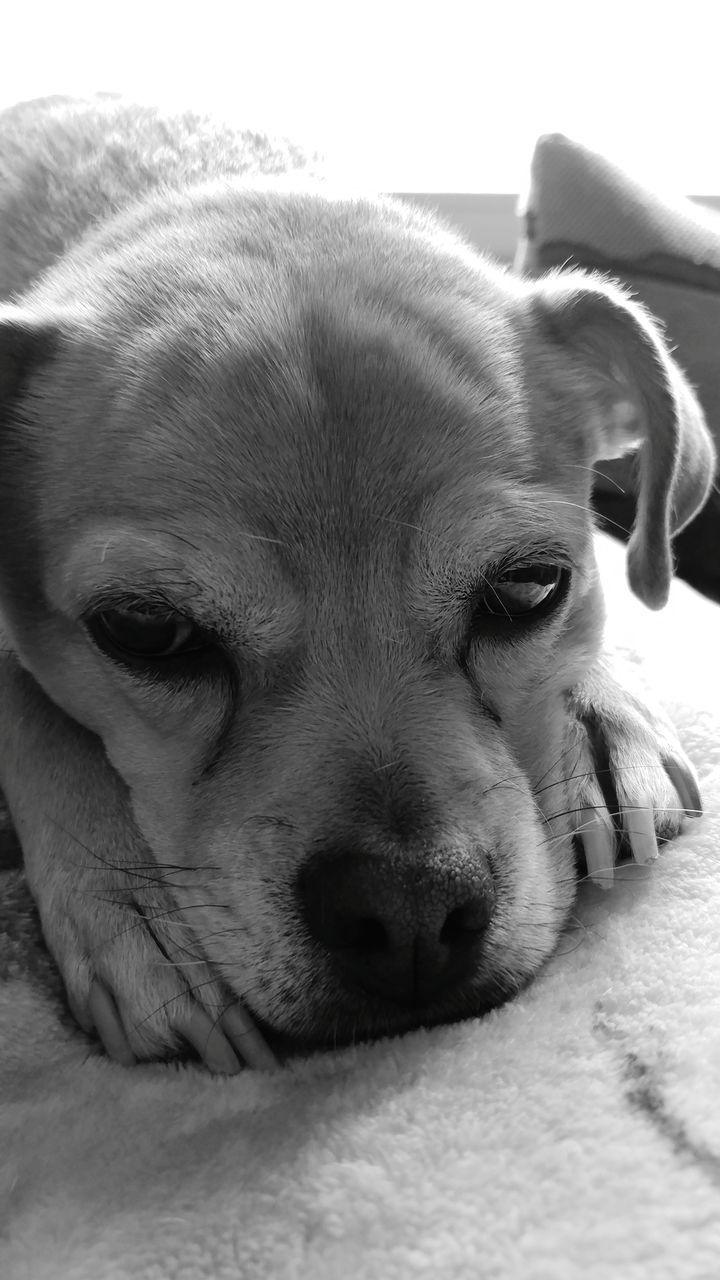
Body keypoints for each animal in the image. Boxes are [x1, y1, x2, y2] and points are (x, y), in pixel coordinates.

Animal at [0, 97, 707, 1070]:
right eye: (144, 630)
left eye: (531, 588)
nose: (409, 914)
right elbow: (27, 704)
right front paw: (131, 911)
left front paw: (601, 716)